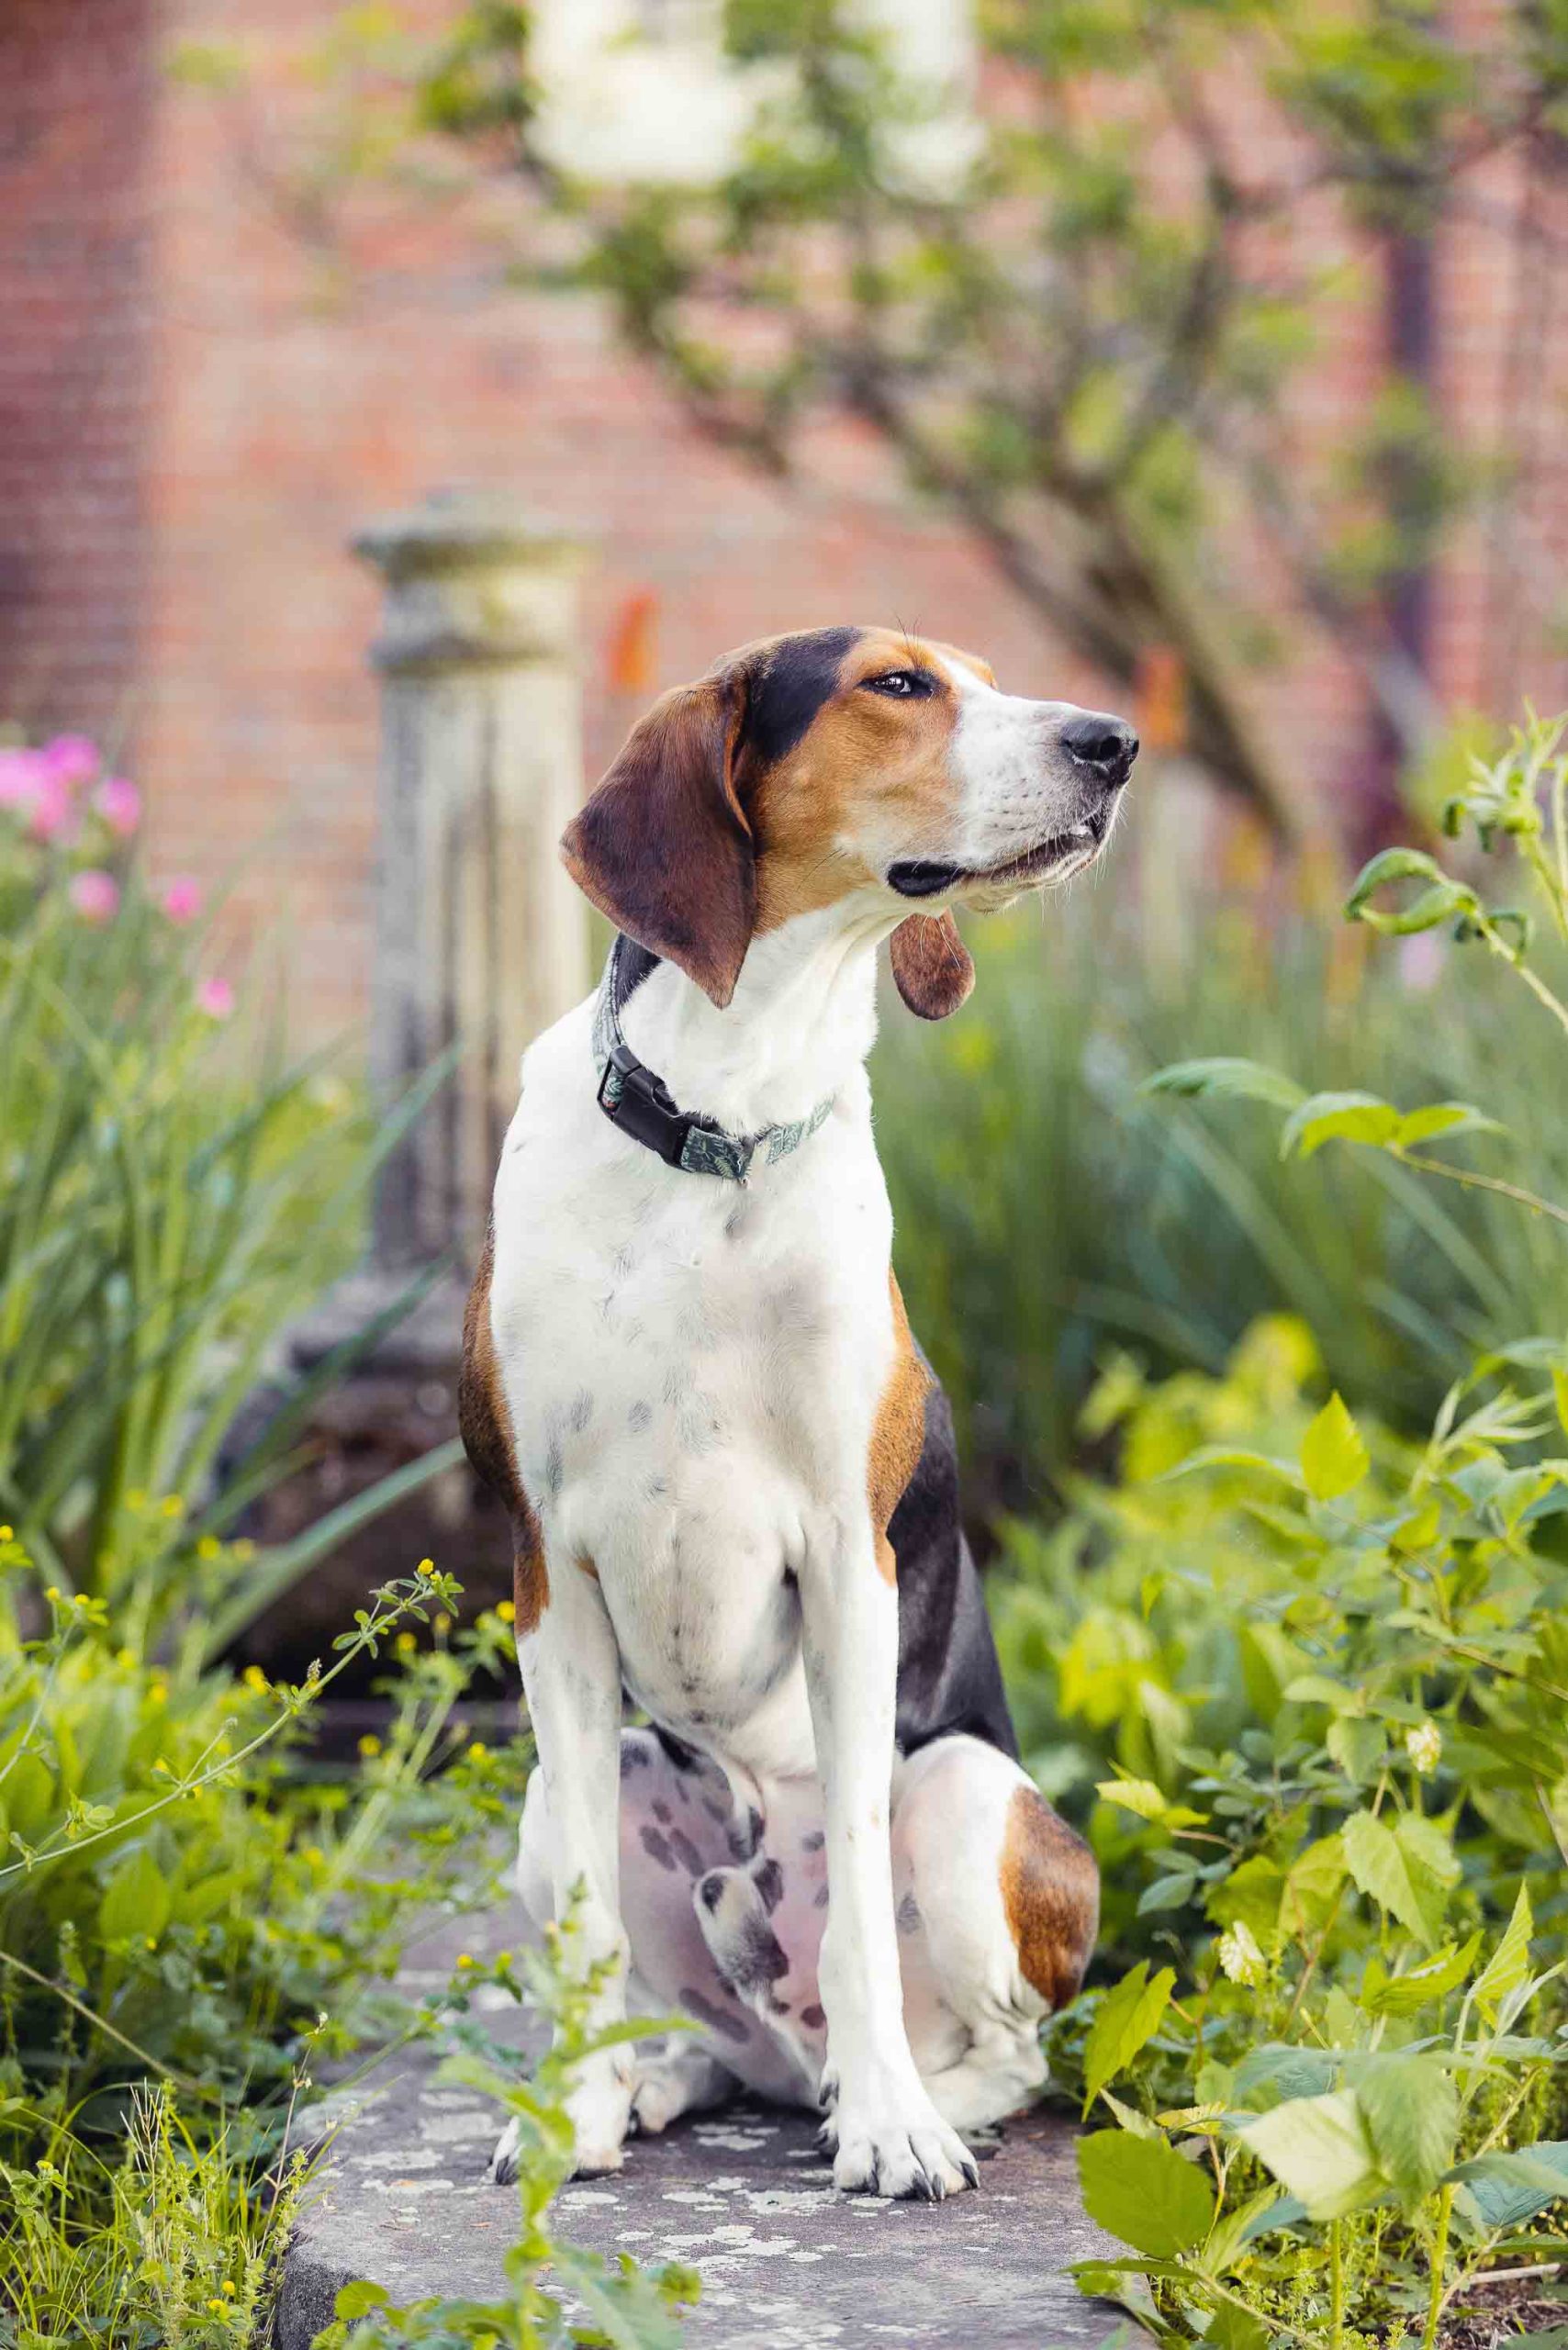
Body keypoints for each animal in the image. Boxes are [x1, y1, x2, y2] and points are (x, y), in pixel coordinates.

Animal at [460, 624, 1133, 2199]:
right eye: (896, 685)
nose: (1114, 744)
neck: (725, 1123)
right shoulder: (548, 1576)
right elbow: (586, 1924)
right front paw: (573, 2121)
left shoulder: (845, 1557)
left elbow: (868, 1928)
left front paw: (892, 2133)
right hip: (572, 1787)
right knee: (705, 2029)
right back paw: (651, 2081)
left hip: (965, 1793)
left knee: (1003, 2046)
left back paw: (901, 2096)